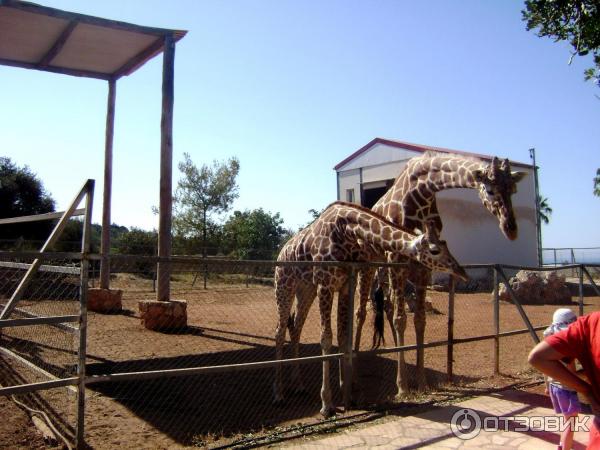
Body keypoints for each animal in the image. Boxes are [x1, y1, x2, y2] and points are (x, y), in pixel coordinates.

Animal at [274, 202, 468, 416]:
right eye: (434, 250)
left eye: (446, 245)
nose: (462, 272)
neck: (345, 231)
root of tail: (281, 252)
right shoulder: (325, 284)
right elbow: (326, 338)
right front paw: (327, 404)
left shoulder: (344, 286)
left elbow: (343, 336)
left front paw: (348, 394)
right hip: (284, 284)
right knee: (280, 331)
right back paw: (279, 394)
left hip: (306, 289)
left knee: (296, 327)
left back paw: (298, 385)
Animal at [354, 153, 528, 396]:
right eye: (490, 189)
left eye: (513, 189)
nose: (511, 229)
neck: (422, 193)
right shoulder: (397, 262)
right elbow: (401, 319)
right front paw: (403, 387)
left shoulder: (424, 268)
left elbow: (419, 320)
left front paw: (421, 381)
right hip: (367, 264)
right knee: (361, 311)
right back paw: (353, 372)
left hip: (383, 268)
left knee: (386, 306)